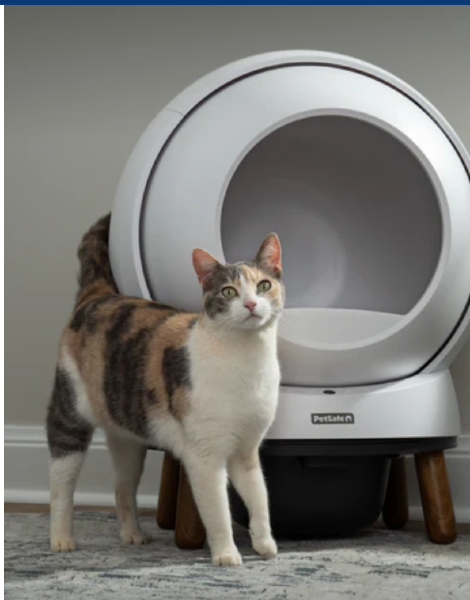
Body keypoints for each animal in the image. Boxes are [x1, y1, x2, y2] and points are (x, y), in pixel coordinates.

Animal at [46, 214, 282, 568]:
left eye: (264, 285)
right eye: (228, 291)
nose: (252, 304)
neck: (247, 362)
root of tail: (98, 295)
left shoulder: (246, 450)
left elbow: (260, 497)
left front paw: (265, 544)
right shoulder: (204, 457)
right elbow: (218, 511)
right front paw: (227, 554)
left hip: (129, 440)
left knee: (123, 487)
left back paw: (132, 534)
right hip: (68, 415)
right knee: (61, 484)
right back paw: (61, 539)